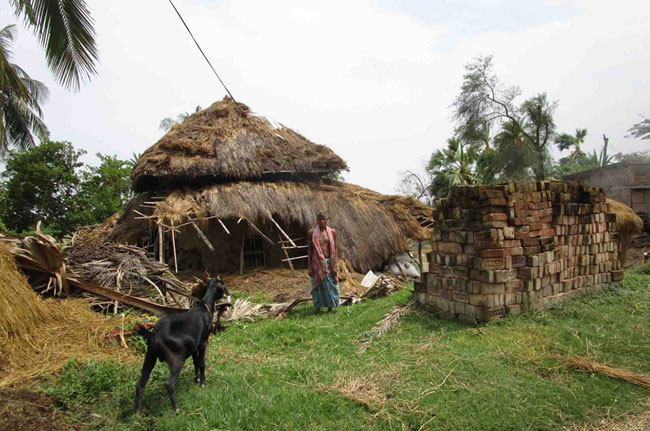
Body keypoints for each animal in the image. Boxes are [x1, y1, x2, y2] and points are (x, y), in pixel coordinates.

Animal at [133, 278, 229, 414]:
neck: (204, 306)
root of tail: (154, 335)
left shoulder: (194, 347)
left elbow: (196, 363)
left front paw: (196, 380)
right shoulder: (203, 343)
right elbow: (202, 363)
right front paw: (202, 383)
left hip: (149, 358)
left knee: (140, 384)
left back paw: (137, 412)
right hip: (177, 360)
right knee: (169, 383)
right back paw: (177, 407)